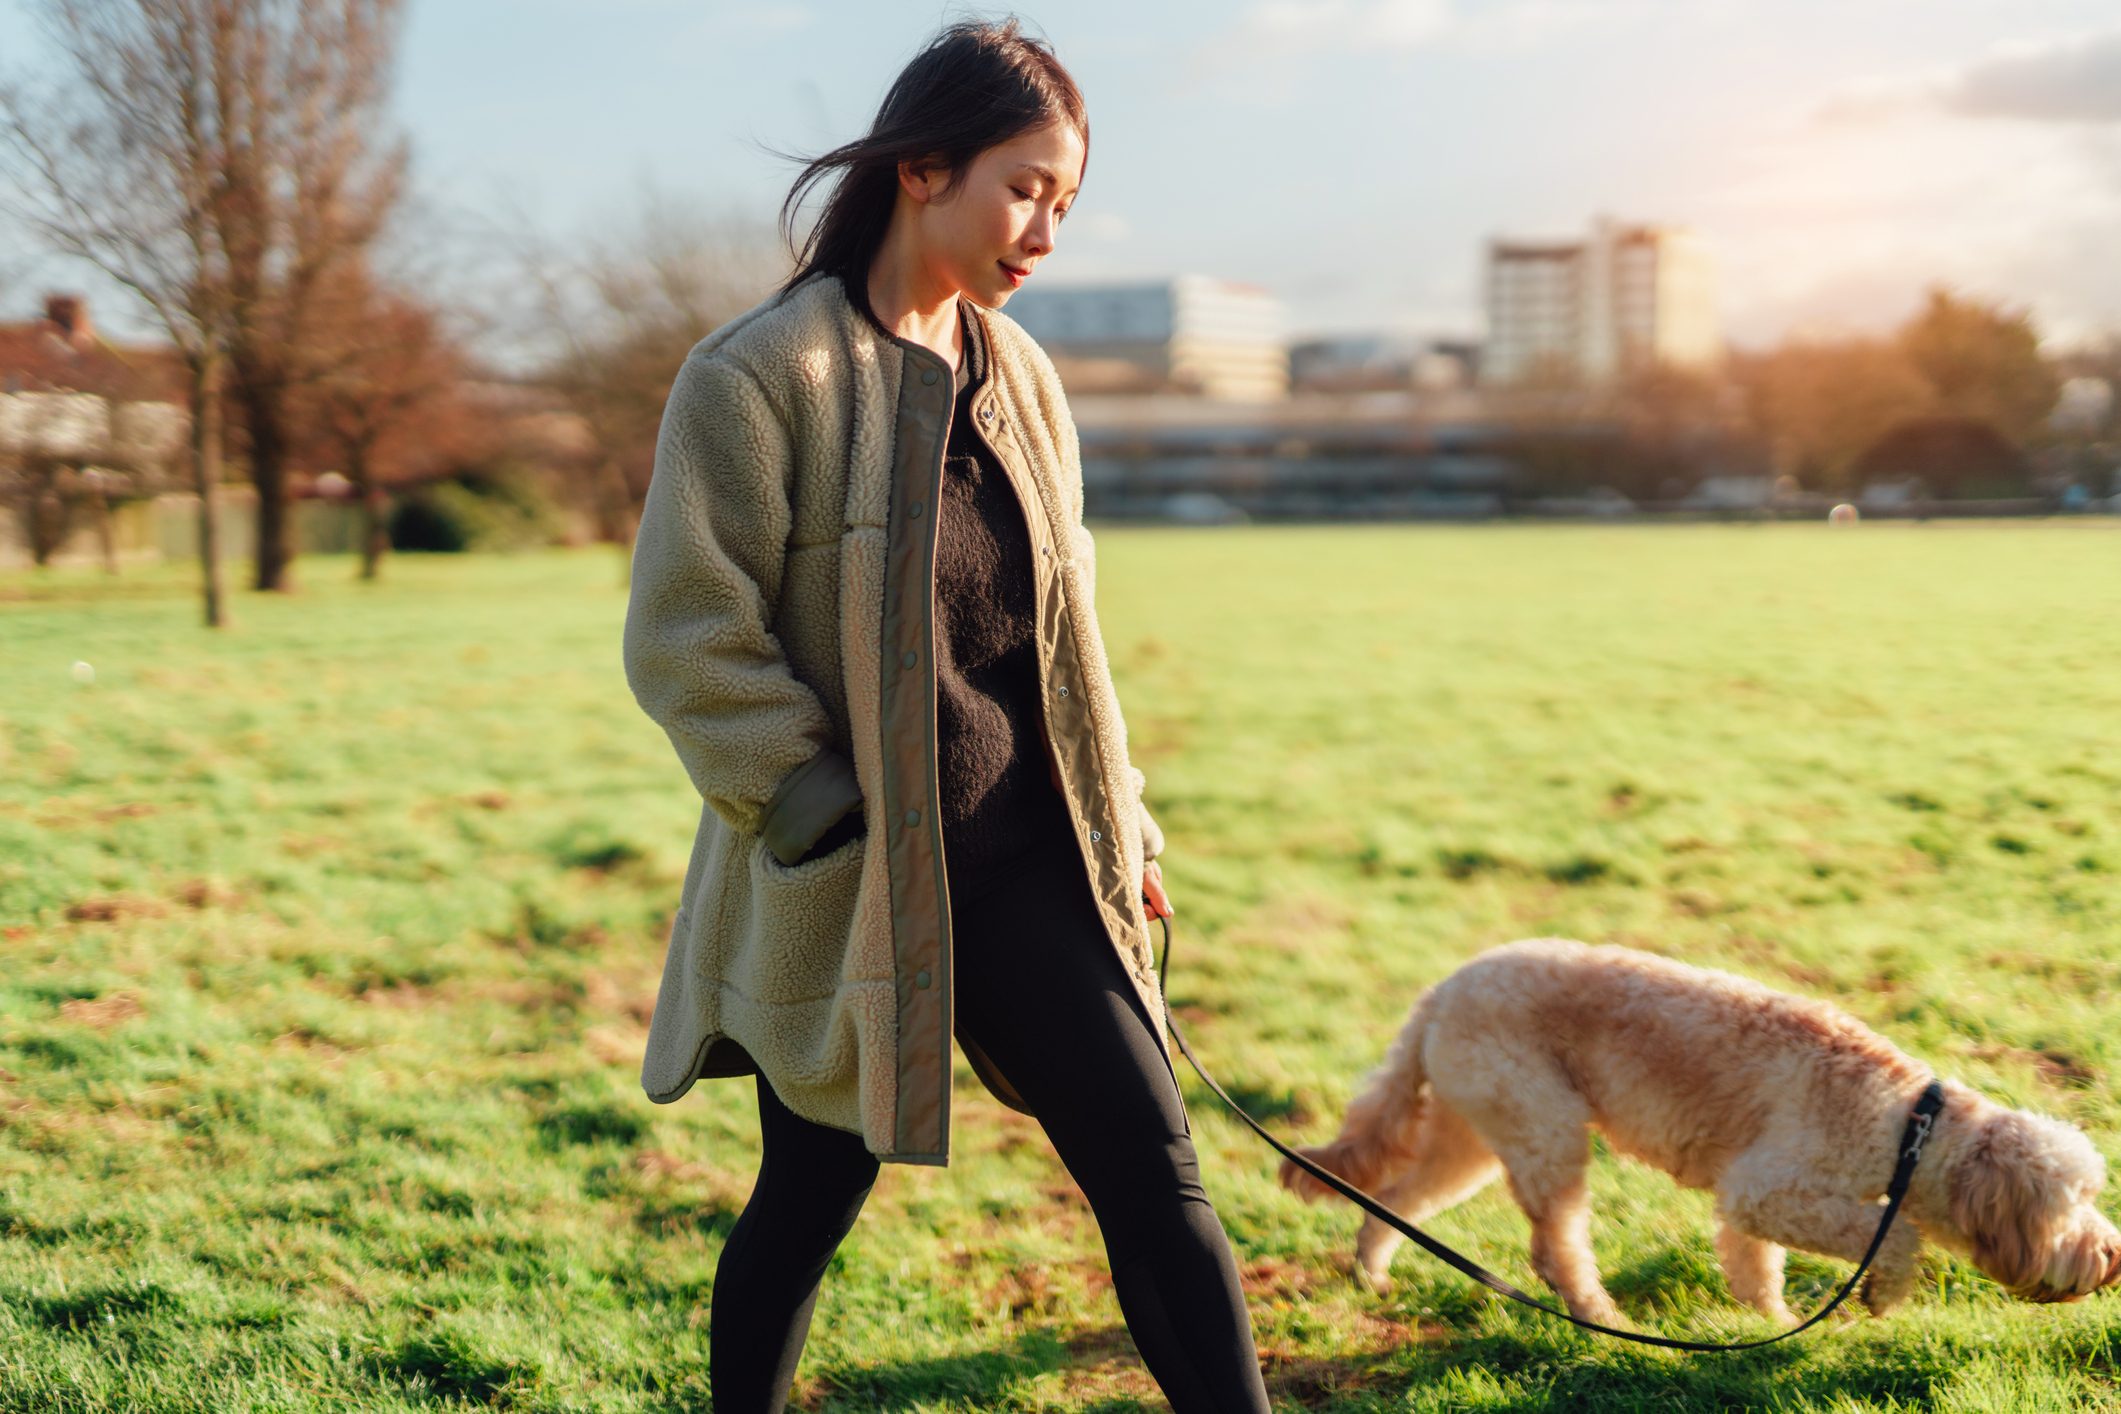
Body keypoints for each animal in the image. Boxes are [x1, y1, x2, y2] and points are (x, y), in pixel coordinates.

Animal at [1272, 941, 2121, 1331]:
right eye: (2070, 1207)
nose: (2110, 1257)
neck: (1910, 1123)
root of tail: (1442, 988)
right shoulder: (1767, 1190)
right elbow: (1896, 1234)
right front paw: (1880, 1293)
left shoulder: (1749, 1206)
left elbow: (1754, 1268)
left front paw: (1771, 1325)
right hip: (1545, 1135)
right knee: (1557, 1248)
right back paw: (1600, 1317)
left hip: (1473, 1137)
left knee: (1396, 1200)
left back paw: (1372, 1273)